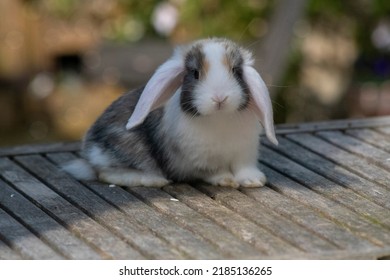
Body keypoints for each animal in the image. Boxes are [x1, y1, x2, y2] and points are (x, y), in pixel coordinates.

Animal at [63, 37, 278, 188]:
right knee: (104, 173)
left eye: (235, 71)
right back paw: (154, 180)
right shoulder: (200, 160)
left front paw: (253, 181)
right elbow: (214, 171)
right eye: (195, 74)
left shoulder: (245, 152)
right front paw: (225, 179)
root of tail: (88, 154)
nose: (220, 98)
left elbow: (244, 167)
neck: (220, 118)